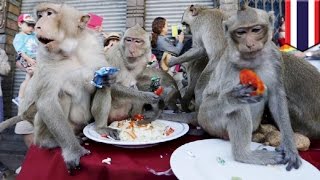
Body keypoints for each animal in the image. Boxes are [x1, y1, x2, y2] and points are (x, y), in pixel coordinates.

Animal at [196, 5, 302, 171]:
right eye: (241, 32)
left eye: (256, 30)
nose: (250, 44)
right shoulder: (230, 64)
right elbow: (227, 97)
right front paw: (232, 97)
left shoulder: (276, 58)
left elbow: (276, 96)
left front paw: (290, 147)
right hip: (206, 118)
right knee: (238, 108)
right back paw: (245, 155)